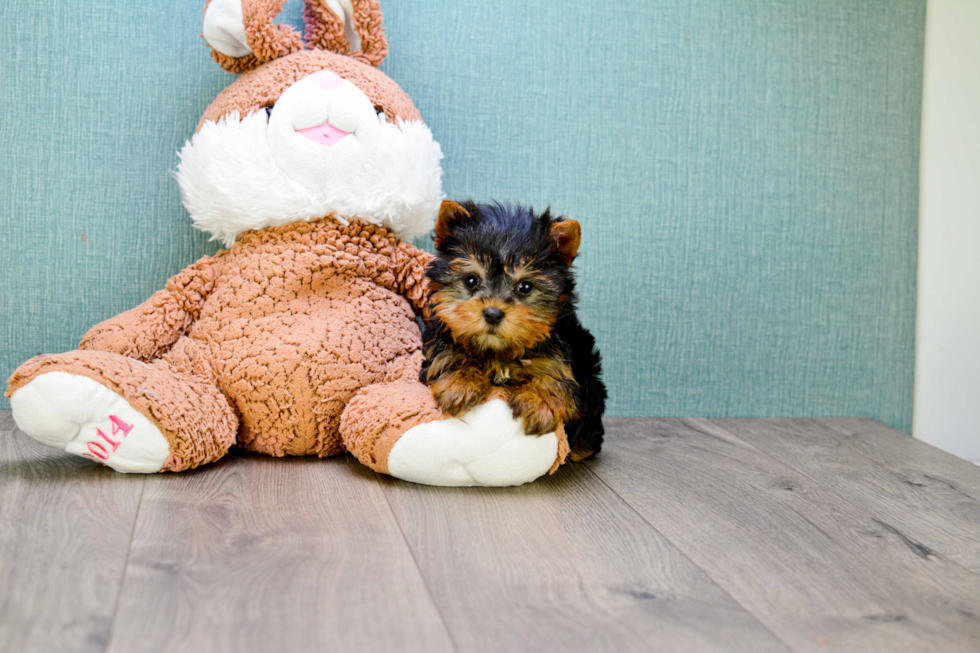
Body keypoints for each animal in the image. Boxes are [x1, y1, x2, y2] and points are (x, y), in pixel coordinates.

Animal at [420, 201, 604, 460]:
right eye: (471, 281)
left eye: (525, 287)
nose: (493, 313)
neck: (500, 352)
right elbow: (449, 355)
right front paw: (460, 383)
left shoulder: (562, 350)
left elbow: (556, 372)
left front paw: (540, 402)